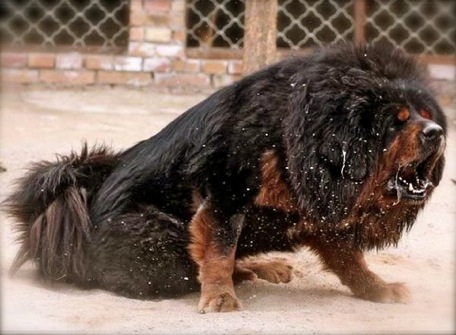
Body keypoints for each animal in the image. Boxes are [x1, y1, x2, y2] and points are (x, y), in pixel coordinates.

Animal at [4, 41, 446, 312]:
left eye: (426, 114)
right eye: (395, 121)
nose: (437, 133)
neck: (294, 136)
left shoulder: (319, 204)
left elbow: (350, 261)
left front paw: (377, 289)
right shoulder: (226, 191)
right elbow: (218, 248)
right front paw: (219, 296)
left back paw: (260, 267)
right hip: (156, 231)